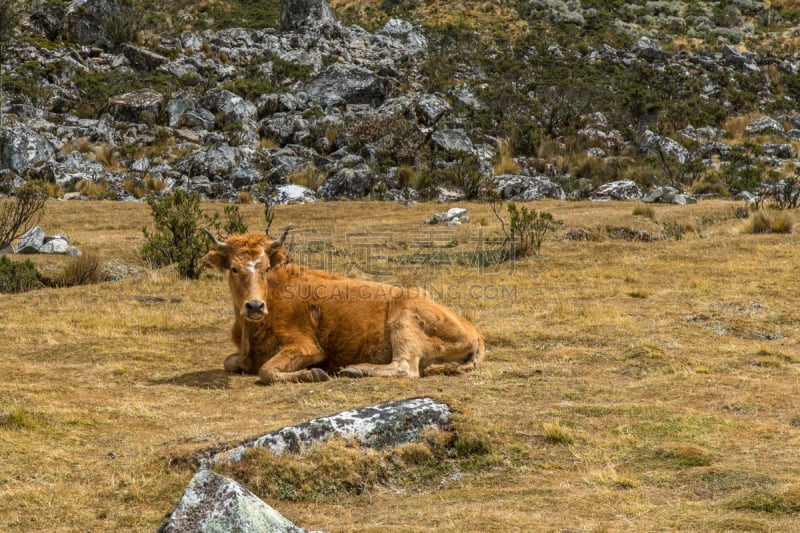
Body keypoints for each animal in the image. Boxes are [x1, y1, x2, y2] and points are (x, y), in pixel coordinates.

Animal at [203, 225, 484, 382]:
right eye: (234, 268)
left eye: (266, 267)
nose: (255, 306)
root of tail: (476, 332)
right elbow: (231, 362)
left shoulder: (307, 347)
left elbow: (265, 370)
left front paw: (313, 373)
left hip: (403, 321)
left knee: (405, 367)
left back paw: (356, 369)